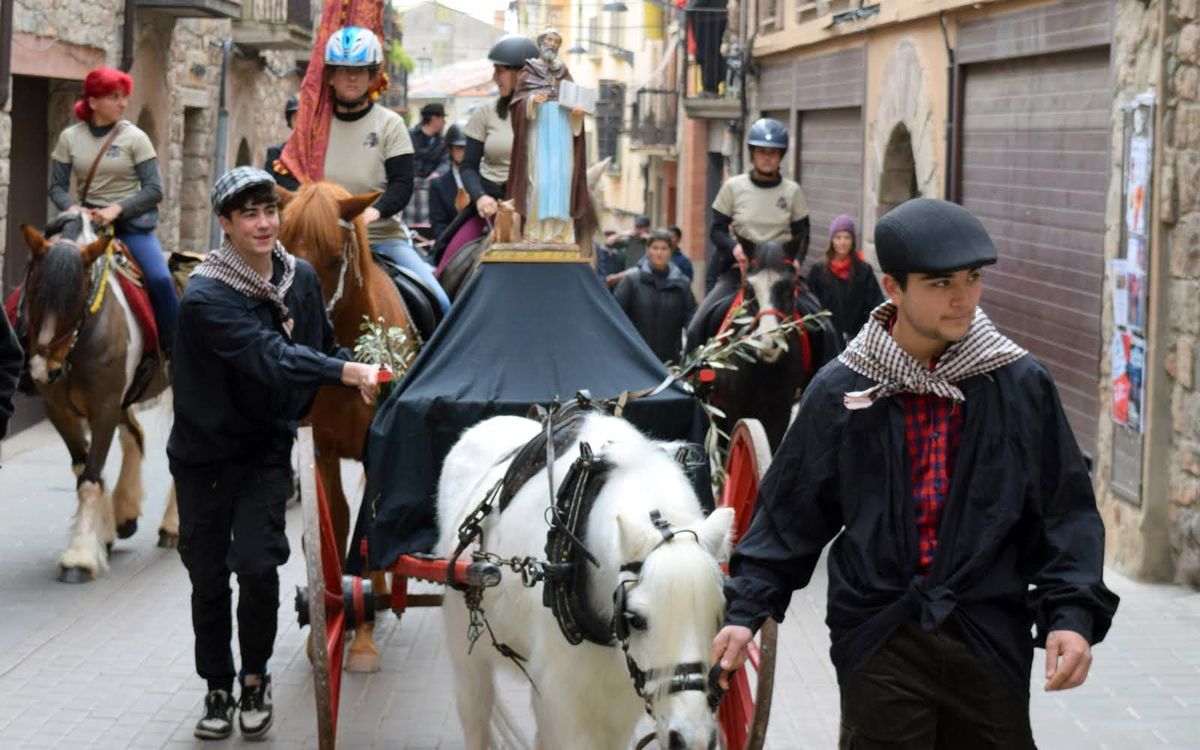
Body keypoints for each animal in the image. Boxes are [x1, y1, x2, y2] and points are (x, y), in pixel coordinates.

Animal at [19, 213, 177, 583]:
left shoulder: (103, 406)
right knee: (135, 434)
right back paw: (125, 514)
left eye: (76, 297)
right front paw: (100, 536)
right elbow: (85, 469)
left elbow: (90, 480)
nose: (42, 369)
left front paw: (79, 558)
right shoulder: (59, 410)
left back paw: (171, 527)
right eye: (32, 288)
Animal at [278, 182, 415, 672]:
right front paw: (338, 617)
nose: (294, 328)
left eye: (336, 258)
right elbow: (335, 523)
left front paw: (364, 640)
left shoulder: (378, 449)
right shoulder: (319, 450)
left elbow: (369, 529)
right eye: (284, 251)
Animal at [436, 412, 724, 744]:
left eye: (717, 617)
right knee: (475, 712)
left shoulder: (619, 703)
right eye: (636, 620)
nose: (692, 738)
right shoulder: (560, 701)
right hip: (465, 653)